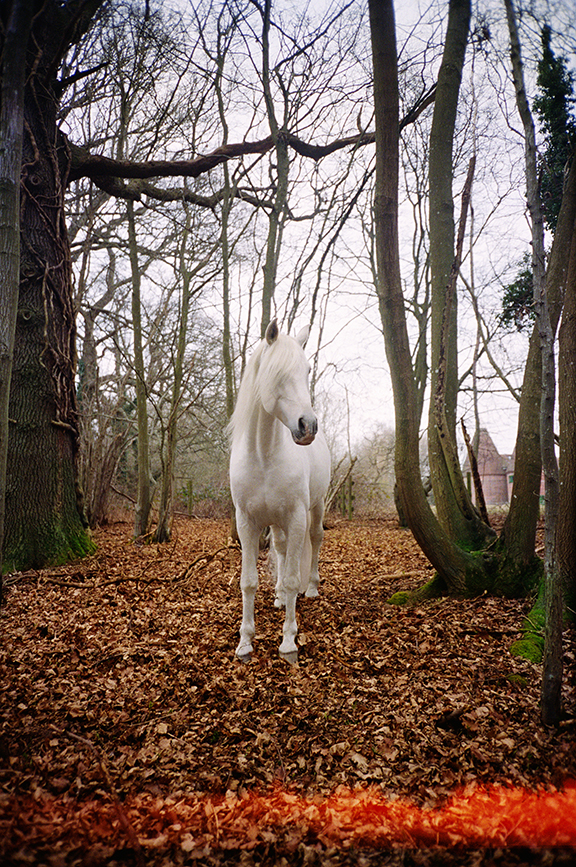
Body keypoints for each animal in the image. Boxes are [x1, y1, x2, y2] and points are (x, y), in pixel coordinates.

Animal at [228, 320, 330, 664]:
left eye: (307, 369)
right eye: (276, 372)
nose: (308, 426)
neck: (263, 455)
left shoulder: (297, 518)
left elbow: (291, 577)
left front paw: (288, 642)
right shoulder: (247, 523)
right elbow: (248, 582)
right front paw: (245, 642)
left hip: (316, 508)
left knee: (314, 541)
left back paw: (309, 589)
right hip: (276, 523)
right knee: (282, 551)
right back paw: (278, 598)